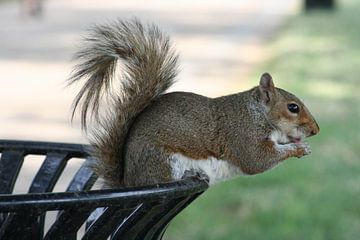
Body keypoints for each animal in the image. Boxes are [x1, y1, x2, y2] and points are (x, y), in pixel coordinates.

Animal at [69, 19, 320, 188]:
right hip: (163, 162)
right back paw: (191, 175)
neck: (256, 114)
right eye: (293, 107)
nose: (315, 130)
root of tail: (129, 181)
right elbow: (257, 160)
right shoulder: (242, 136)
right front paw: (298, 149)